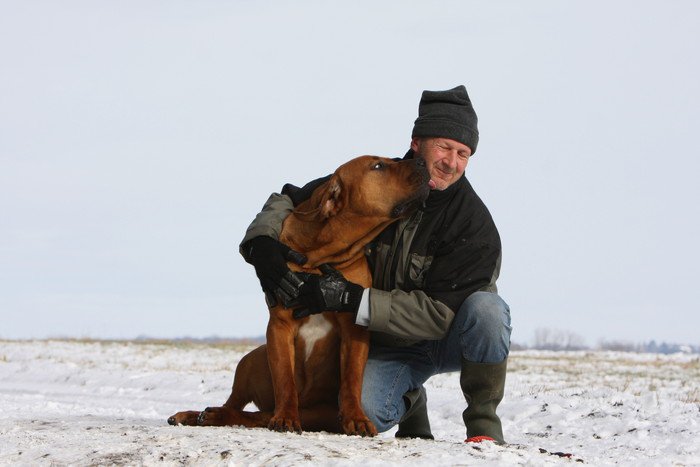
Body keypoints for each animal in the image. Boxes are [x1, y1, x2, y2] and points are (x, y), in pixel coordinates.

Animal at [167, 155, 430, 436]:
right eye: (378, 166)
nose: (422, 162)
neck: (321, 258)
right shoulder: (279, 326)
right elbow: (285, 378)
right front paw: (285, 417)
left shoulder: (354, 327)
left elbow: (351, 379)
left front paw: (356, 418)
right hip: (250, 361)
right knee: (240, 405)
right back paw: (200, 415)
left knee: (258, 414)